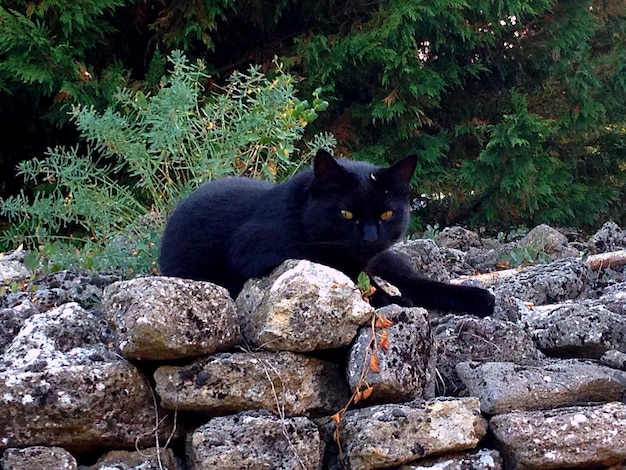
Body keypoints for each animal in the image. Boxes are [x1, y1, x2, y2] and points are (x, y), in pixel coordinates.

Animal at [160, 150, 492, 316]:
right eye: (346, 214)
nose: (370, 237)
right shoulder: (255, 248)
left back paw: (478, 298)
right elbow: (339, 268)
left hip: (388, 260)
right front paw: (390, 300)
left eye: (386, 214)